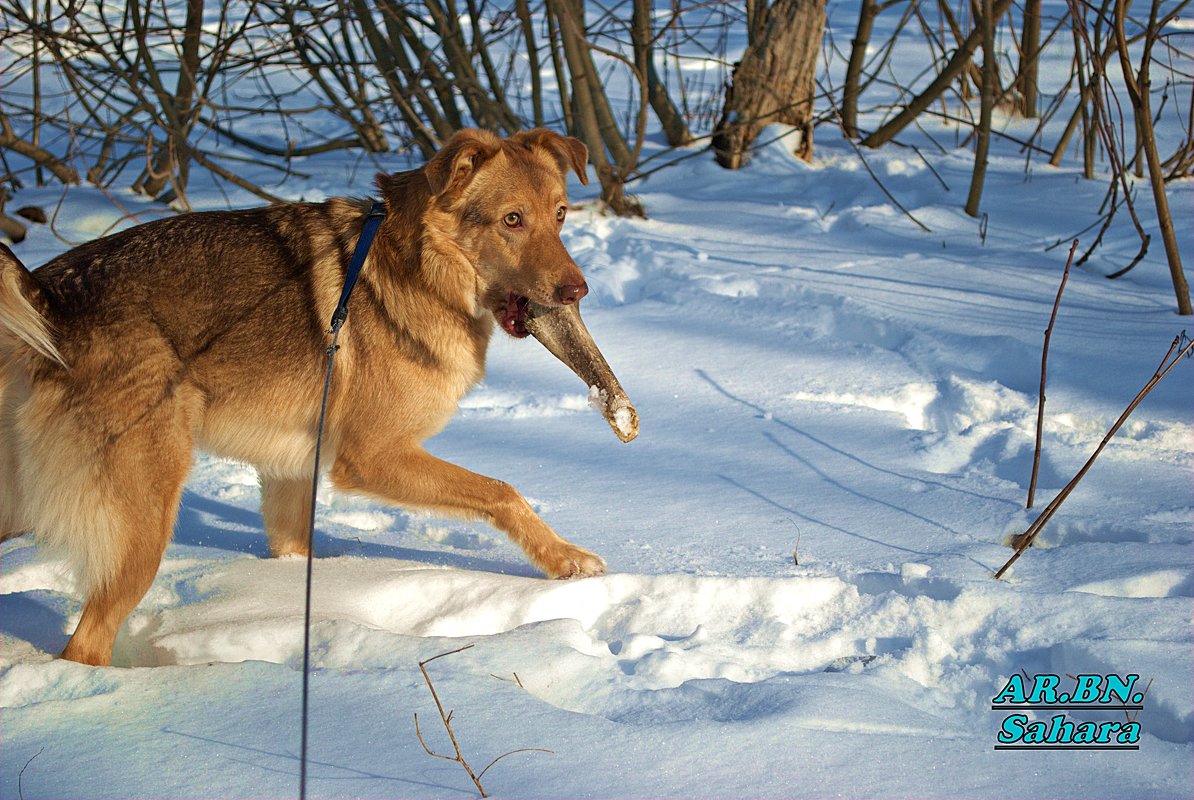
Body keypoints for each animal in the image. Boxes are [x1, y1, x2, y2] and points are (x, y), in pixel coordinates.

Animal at [2, 128, 606, 668]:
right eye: (512, 220)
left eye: (560, 215)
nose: (577, 292)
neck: (419, 263)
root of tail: (52, 296)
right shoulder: (372, 457)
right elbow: (503, 491)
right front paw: (565, 560)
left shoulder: (292, 473)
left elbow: (296, 549)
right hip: (145, 519)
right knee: (85, 646)